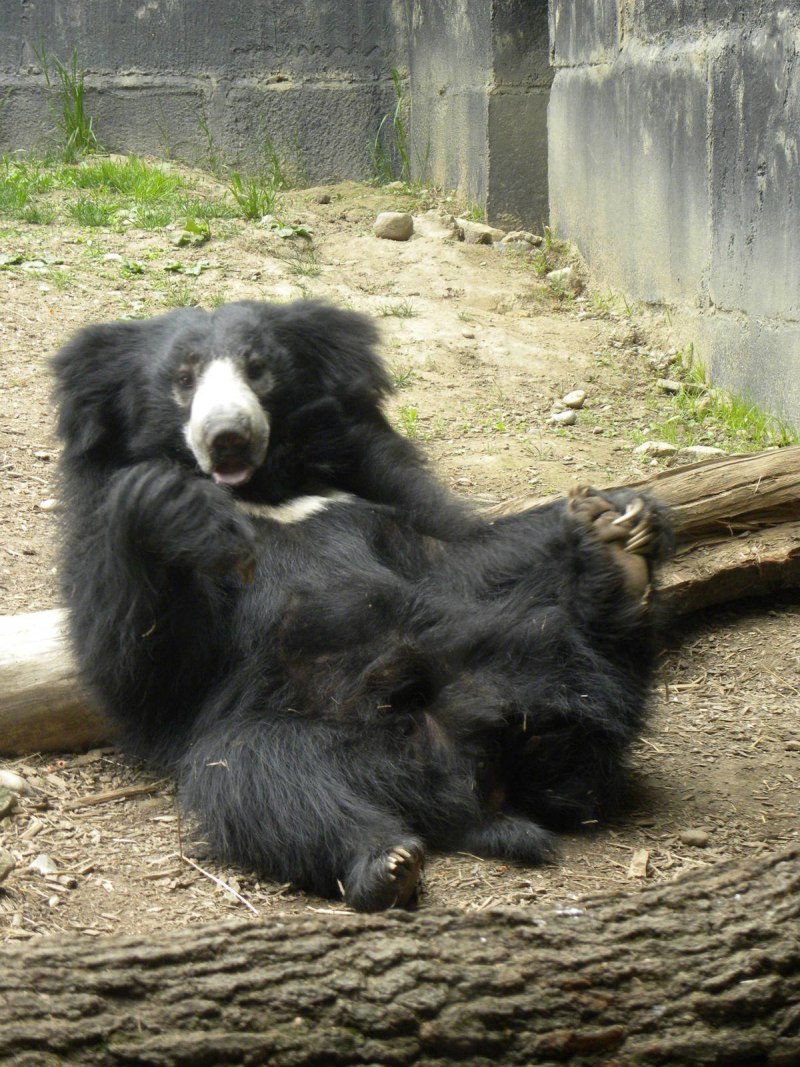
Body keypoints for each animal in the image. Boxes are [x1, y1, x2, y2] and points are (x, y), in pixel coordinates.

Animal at [53, 299, 672, 911]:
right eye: (183, 380)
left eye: (258, 369)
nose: (227, 436)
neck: (263, 490)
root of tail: (461, 789)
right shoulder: (100, 525)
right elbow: (144, 674)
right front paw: (173, 506)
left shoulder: (372, 479)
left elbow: (458, 555)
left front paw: (614, 511)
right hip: (293, 735)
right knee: (264, 777)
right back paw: (385, 862)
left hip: (519, 664)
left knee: (564, 672)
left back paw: (610, 580)